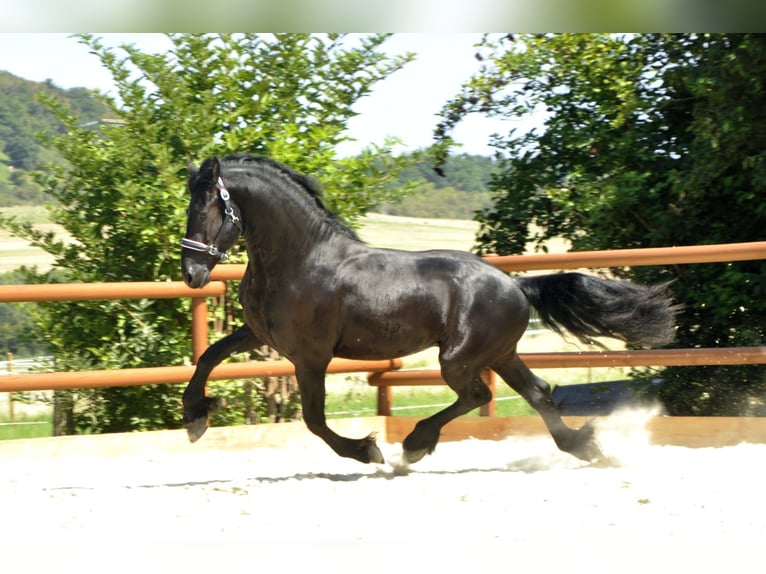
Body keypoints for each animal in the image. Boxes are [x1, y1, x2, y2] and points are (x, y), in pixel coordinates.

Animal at [181, 153, 677, 465]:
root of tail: (516, 284)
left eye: (207, 210)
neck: (301, 260)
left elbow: (315, 419)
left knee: (478, 396)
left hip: (459, 358)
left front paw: (367, 451)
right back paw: (585, 447)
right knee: (537, 392)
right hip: (500, 354)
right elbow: (208, 357)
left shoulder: (310, 356)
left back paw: (416, 443)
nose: (192, 273)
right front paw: (195, 418)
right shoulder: (261, 334)